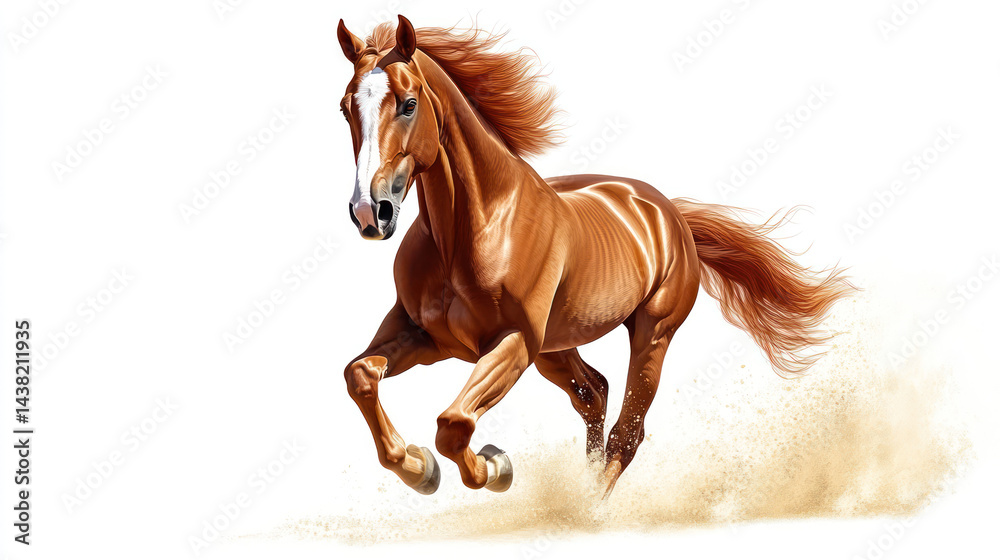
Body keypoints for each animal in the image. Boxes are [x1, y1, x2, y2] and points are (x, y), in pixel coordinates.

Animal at [336, 15, 853, 498]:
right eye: (345, 109)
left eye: (409, 104)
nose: (370, 212)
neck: (473, 227)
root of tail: (669, 213)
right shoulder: (424, 334)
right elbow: (359, 374)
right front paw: (418, 468)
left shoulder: (513, 343)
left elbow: (454, 425)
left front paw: (495, 467)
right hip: (556, 347)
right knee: (594, 394)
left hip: (650, 335)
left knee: (627, 430)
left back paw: (588, 509)